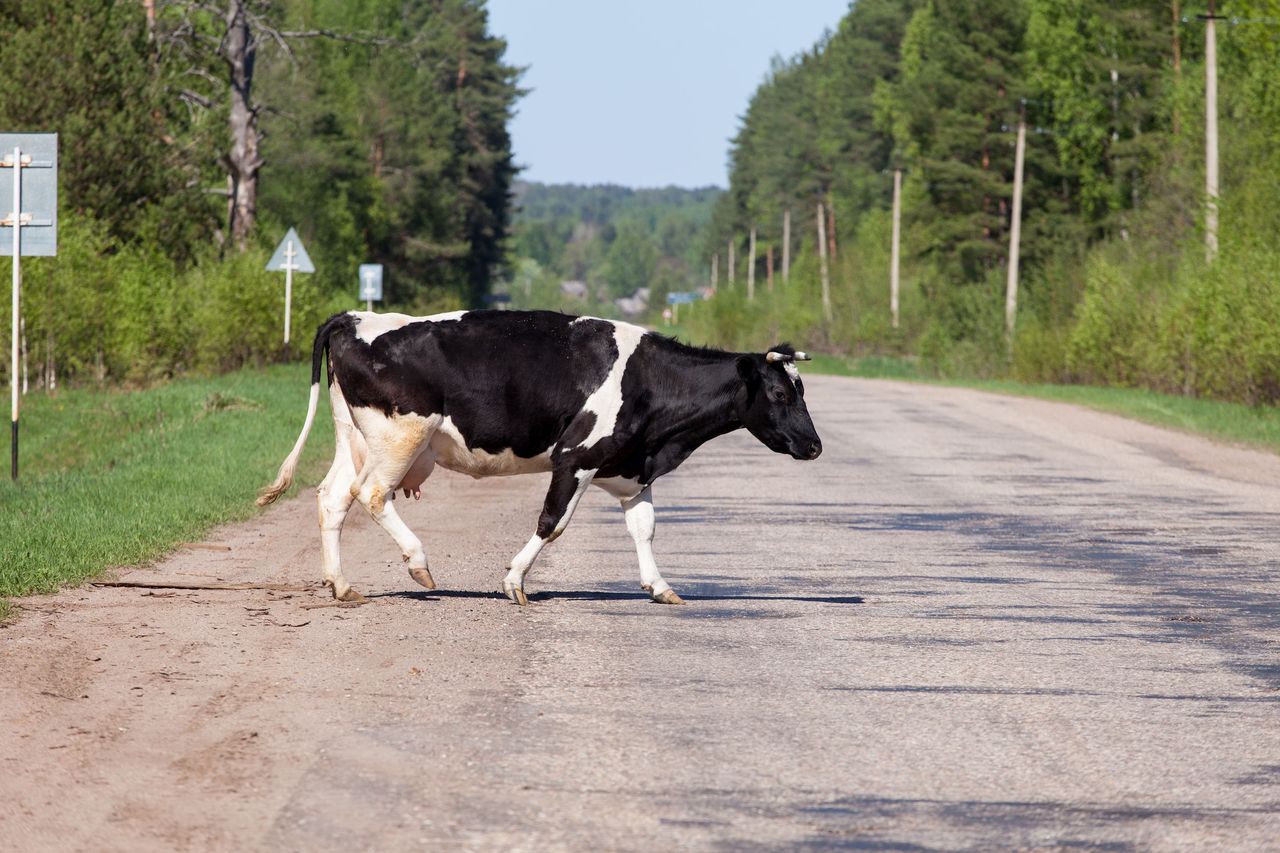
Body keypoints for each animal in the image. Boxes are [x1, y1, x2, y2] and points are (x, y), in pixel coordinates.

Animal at [257, 308, 819, 601]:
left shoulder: (632, 469)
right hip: (401, 435)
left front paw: (660, 587)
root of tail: (359, 317)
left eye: (802, 388)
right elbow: (552, 522)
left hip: (355, 436)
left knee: (332, 497)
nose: (814, 446)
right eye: (780, 392)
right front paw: (514, 581)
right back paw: (418, 565)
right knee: (371, 493)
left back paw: (341, 584)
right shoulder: (576, 457)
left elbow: (645, 529)